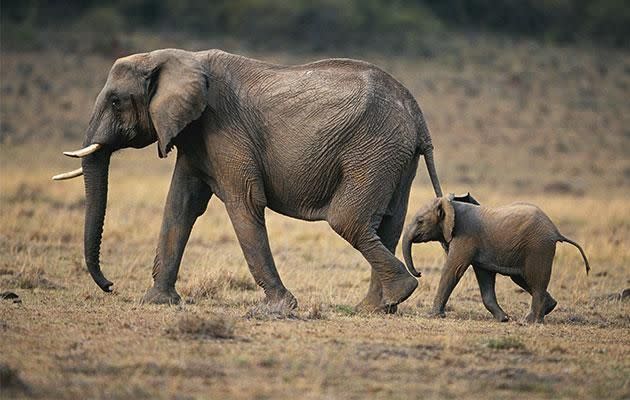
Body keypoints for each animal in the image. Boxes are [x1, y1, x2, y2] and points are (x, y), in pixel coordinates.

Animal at [54, 49, 444, 312]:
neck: (174, 58)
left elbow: (244, 203)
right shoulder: (195, 137)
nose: (109, 285)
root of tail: (418, 115)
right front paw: (157, 302)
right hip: (395, 156)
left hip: (374, 148)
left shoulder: (223, 129)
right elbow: (180, 205)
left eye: (116, 101)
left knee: (348, 220)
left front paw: (280, 308)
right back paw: (376, 307)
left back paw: (399, 292)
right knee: (388, 224)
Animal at [404, 195, 592, 324]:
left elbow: (453, 270)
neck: (450, 205)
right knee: (524, 279)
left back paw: (529, 321)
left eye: (420, 221)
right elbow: (484, 277)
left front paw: (433, 315)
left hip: (538, 247)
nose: (419, 273)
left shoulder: (465, 237)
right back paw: (549, 307)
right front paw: (504, 319)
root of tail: (556, 231)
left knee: (536, 280)